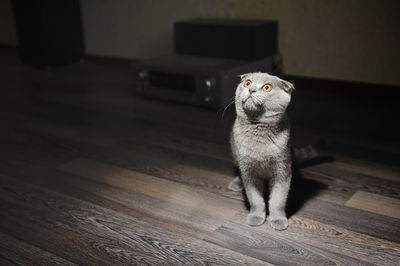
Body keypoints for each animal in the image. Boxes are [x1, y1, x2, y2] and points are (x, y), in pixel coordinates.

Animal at [228, 72, 294, 231]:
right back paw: (236, 183)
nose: (251, 89)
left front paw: (278, 219)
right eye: (247, 83)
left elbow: (278, 199)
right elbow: (255, 199)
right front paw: (256, 216)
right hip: (235, 152)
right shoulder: (249, 171)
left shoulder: (282, 169)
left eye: (266, 87)